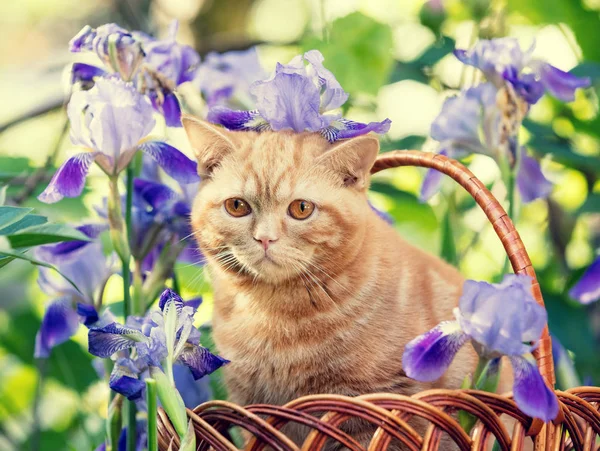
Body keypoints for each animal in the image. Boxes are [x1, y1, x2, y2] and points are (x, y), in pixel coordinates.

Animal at [183, 117, 478, 448]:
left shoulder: (375, 406)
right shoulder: (252, 409)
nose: (265, 238)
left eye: (301, 209)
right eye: (237, 206)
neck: (272, 311)